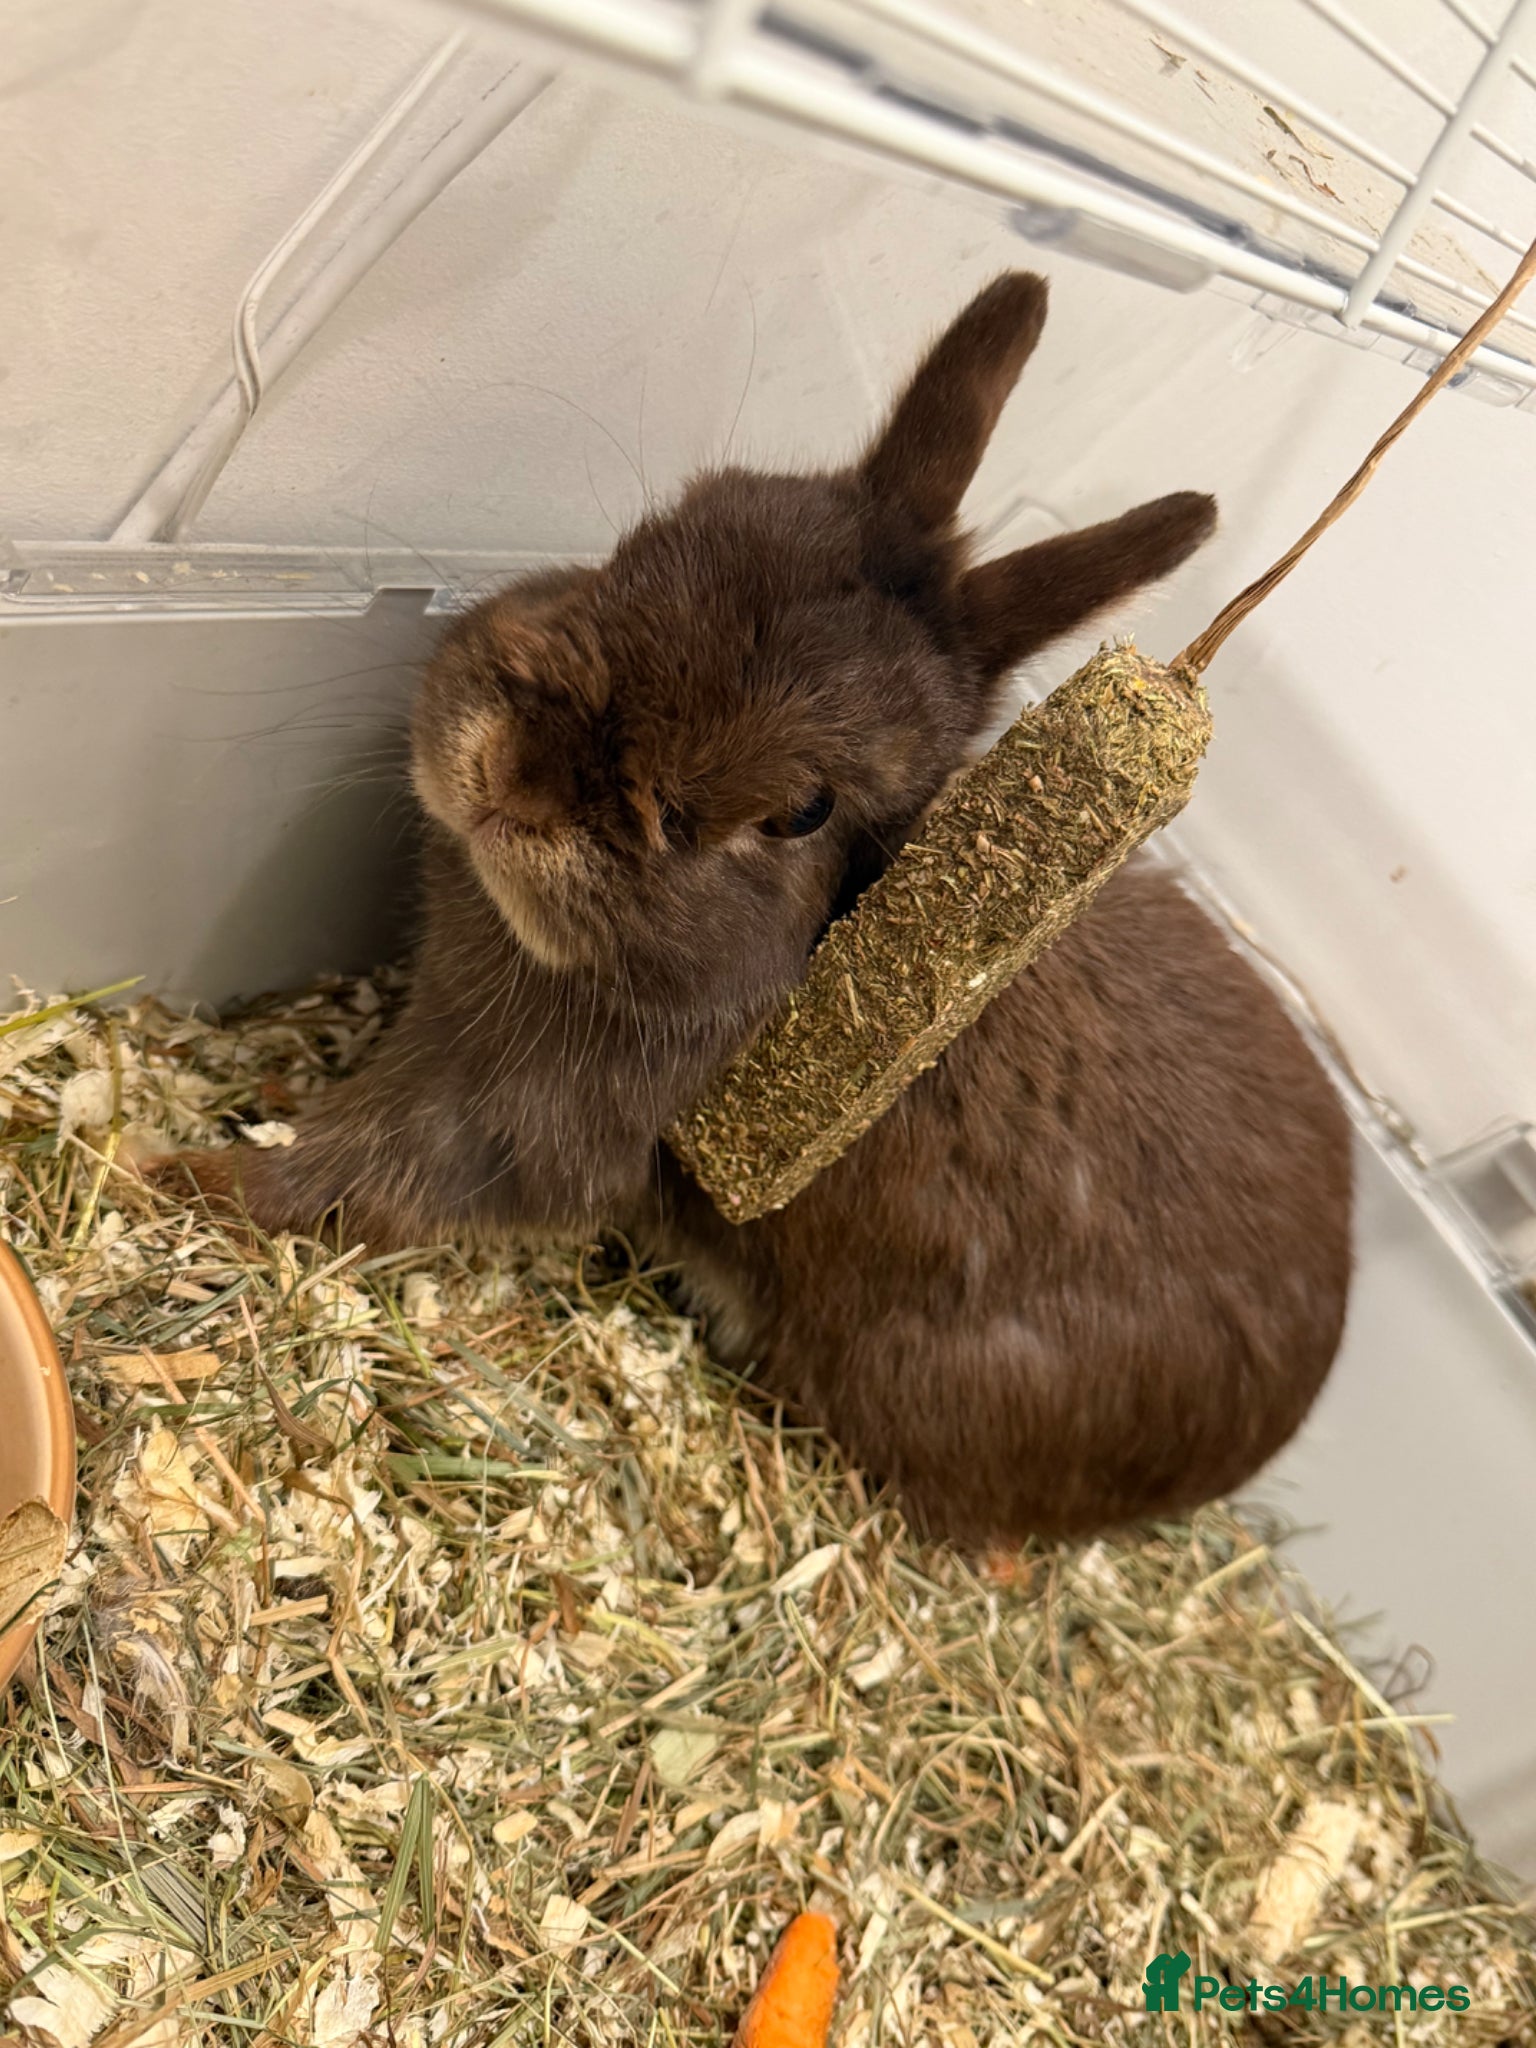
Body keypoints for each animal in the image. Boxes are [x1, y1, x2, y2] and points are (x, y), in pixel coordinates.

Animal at [162, 272, 1353, 1545]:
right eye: (647, 539)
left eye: (802, 810)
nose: (515, 774)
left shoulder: (510, 1126)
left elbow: (351, 1174)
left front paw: (173, 1171)